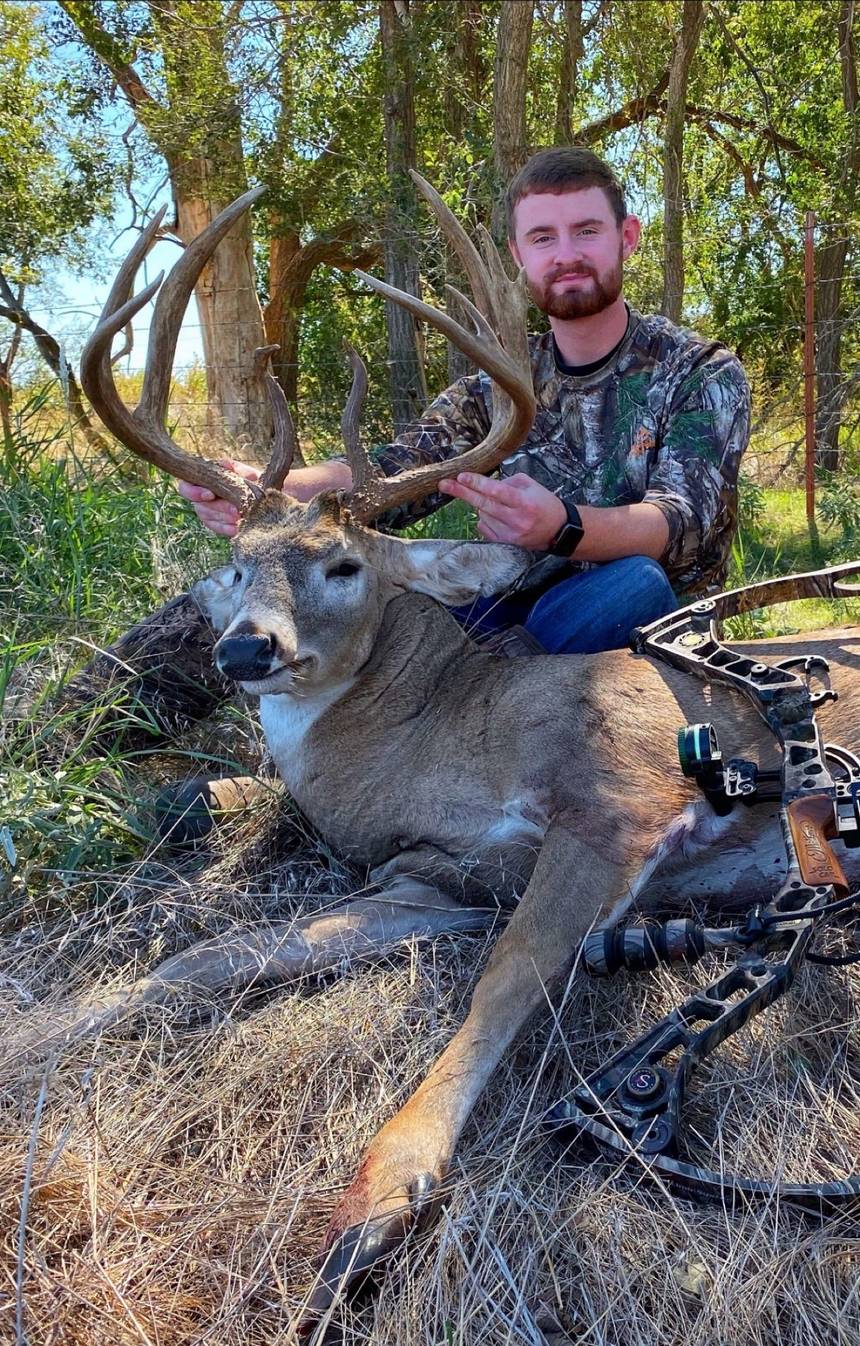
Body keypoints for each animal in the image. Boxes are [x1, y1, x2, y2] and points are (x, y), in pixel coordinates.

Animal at [48, 179, 860, 1327]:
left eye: (343, 565)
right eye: (233, 565)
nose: (246, 647)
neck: (442, 736)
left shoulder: (619, 798)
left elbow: (506, 975)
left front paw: (377, 1202)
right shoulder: (431, 877)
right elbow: (204, 960)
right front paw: (40, 1032)